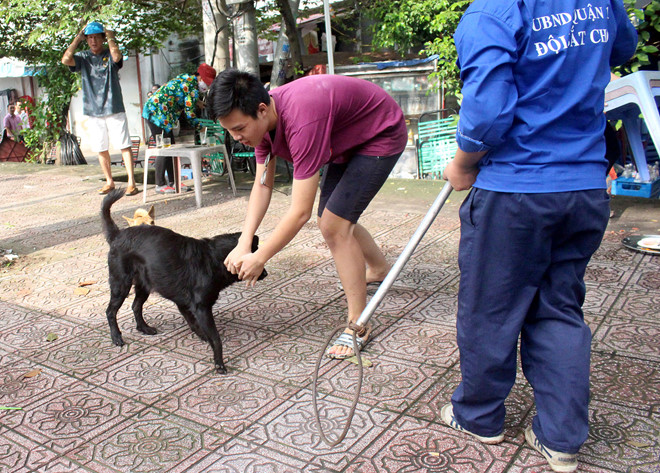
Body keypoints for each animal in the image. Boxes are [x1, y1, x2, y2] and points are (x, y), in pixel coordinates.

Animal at [100, 188, 266, 372]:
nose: (265, 273)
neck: (212, 259)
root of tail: (117, 234)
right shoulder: (201, 308)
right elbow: (215, 338)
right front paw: (219, 363)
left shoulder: (184, 303)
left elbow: (194, 324)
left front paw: (203, 337)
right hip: (121, 284)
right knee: (110, 311)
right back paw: (116, 337)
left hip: (145, 285)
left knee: (136, 306)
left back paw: (144, 328)